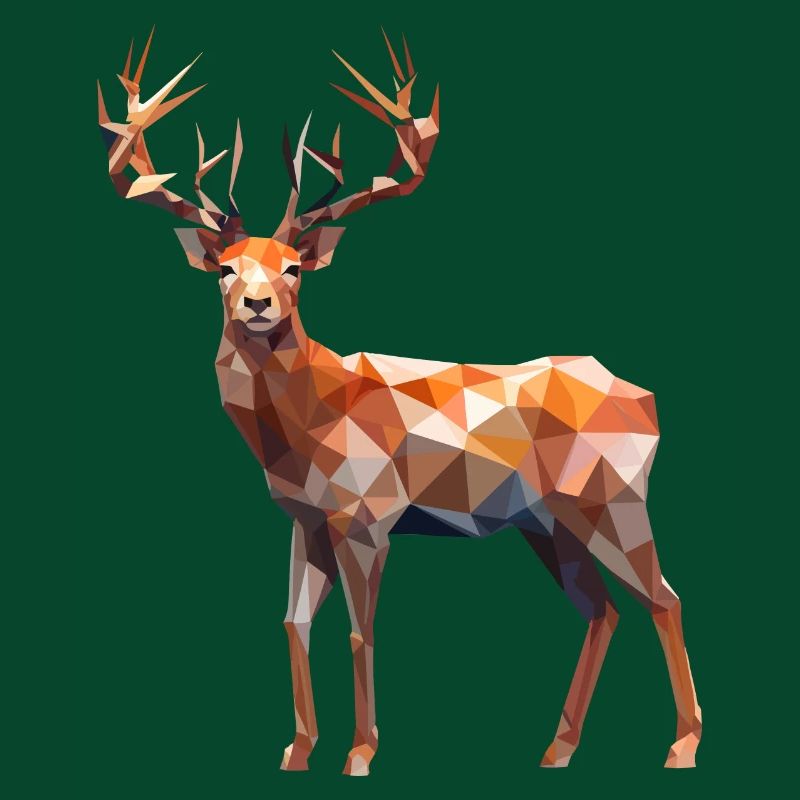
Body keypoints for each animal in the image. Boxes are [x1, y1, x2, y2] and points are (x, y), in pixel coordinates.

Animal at [98, 29, 702, 775]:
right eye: (225, 268)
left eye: (293, 267)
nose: (258, 304)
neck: (312, 422)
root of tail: (646, 400)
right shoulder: (305, 520)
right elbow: (293, 623)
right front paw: (296, 753)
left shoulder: (369, 516)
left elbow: (361, 634)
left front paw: (360, 754)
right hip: (547, 522)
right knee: (601, 609)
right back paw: (556, 750)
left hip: (612, 496)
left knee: (664, 599)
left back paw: (682, 745)